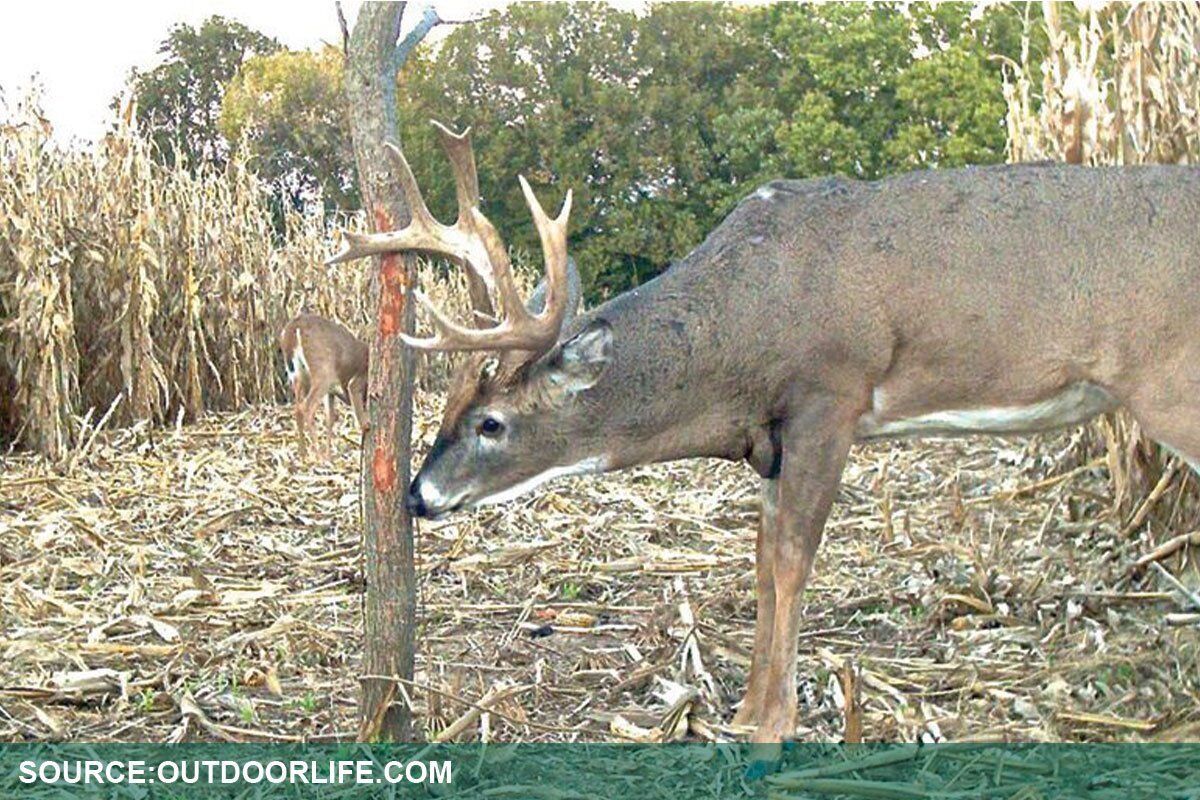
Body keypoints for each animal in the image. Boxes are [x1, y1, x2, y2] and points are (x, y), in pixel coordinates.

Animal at [278, 314, 369, 460]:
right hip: (323, 372)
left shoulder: (331, 392)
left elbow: (329, 419)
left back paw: (303, 454)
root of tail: (294, 326)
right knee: (307, 407)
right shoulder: (356, 381)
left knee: (297, 408)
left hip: (298, 375)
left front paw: (329, 454)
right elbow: (361, 420)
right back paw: (318, 455)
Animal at [329, 122, 1200, 758]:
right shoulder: (774, 439)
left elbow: (790, 558)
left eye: (492, 423)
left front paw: (773, 723)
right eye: (446, 410)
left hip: (1171, 383)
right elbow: (761, 555)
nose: (417, 494)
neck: (743, 335)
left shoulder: (829, 396)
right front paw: (745, 707)